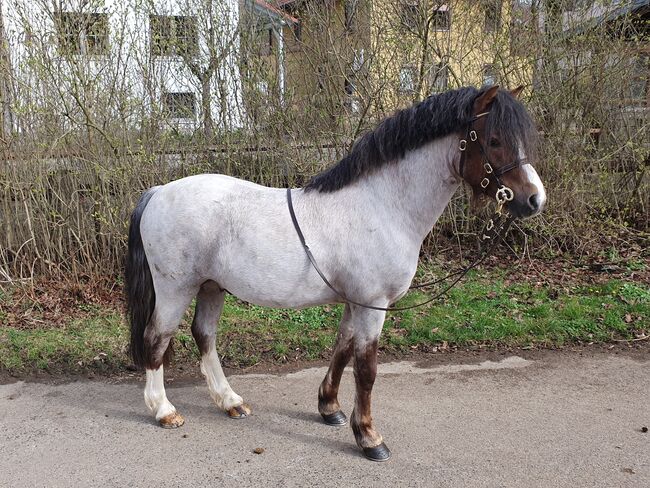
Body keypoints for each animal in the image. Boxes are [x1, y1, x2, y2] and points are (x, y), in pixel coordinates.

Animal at [125, 86, 540, 464]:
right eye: (494, 140)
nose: (535, 200)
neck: (382, 206)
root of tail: (159, 191)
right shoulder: (373, 305)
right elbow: (366, 369)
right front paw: (369, 438)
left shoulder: (355, 302)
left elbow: (341, 348)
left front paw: (330, 409)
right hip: (176, 289)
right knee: (156, 339)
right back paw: (164, 410)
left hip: (212, 286)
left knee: (204, 336)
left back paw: (230, 401)